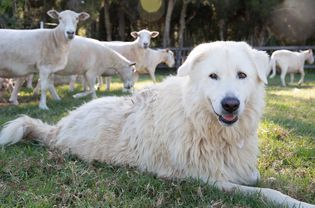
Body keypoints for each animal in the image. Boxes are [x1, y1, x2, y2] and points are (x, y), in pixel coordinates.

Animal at [0, 41, 314, 207]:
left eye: (242, 75)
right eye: (213, 76)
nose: (230, 104)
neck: (199, 120)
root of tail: (58, 127)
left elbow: (256, 177)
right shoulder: (208, 180)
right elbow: (266, 191)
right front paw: (299, 202)